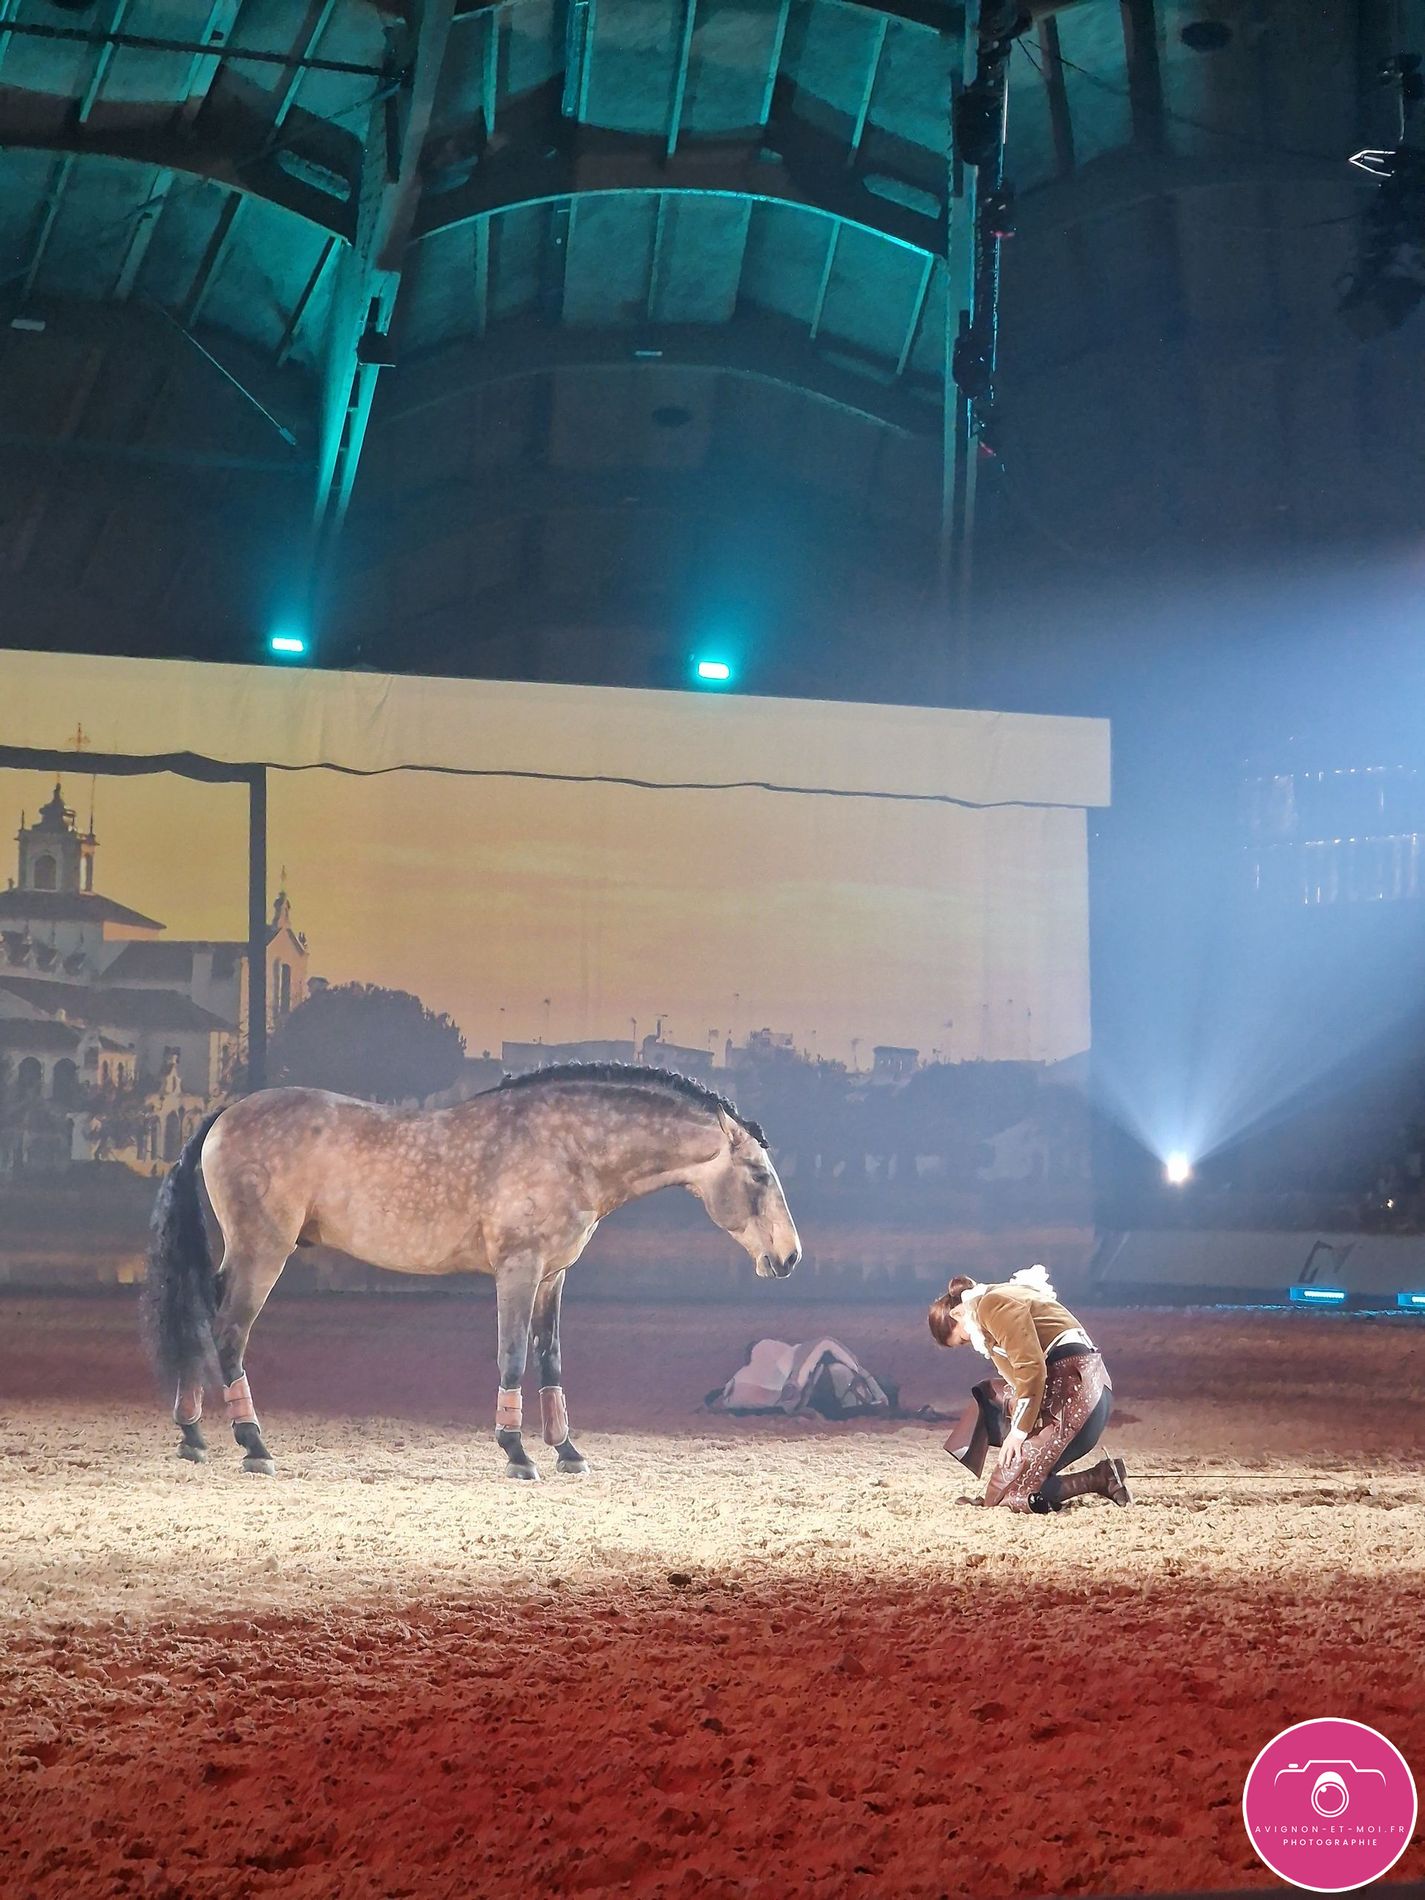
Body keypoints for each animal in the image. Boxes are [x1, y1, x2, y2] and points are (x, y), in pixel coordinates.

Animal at [143, 1064, 805, 1474]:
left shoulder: (552, 1276)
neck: (567, 1147)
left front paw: (567, 1450)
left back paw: (194, 1434)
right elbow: (512, 1354)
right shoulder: (518, 1268)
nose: (790, 1256)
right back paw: (252, 1443)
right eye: (759, 1175)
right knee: (229, 1333)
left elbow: (550, 1357)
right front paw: (517, 1452)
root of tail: (223, 1117)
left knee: (201, 1323)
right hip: (263, 1253)